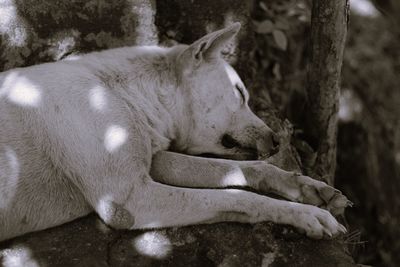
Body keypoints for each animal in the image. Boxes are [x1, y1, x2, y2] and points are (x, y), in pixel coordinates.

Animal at [0, 22, 348, 242]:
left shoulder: (155, 162)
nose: (277, 140)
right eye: (240, 93)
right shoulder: (131, 201)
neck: (119, 92)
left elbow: (248, 169)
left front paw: (308, 187)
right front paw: (305, 215)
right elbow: (240, 195)